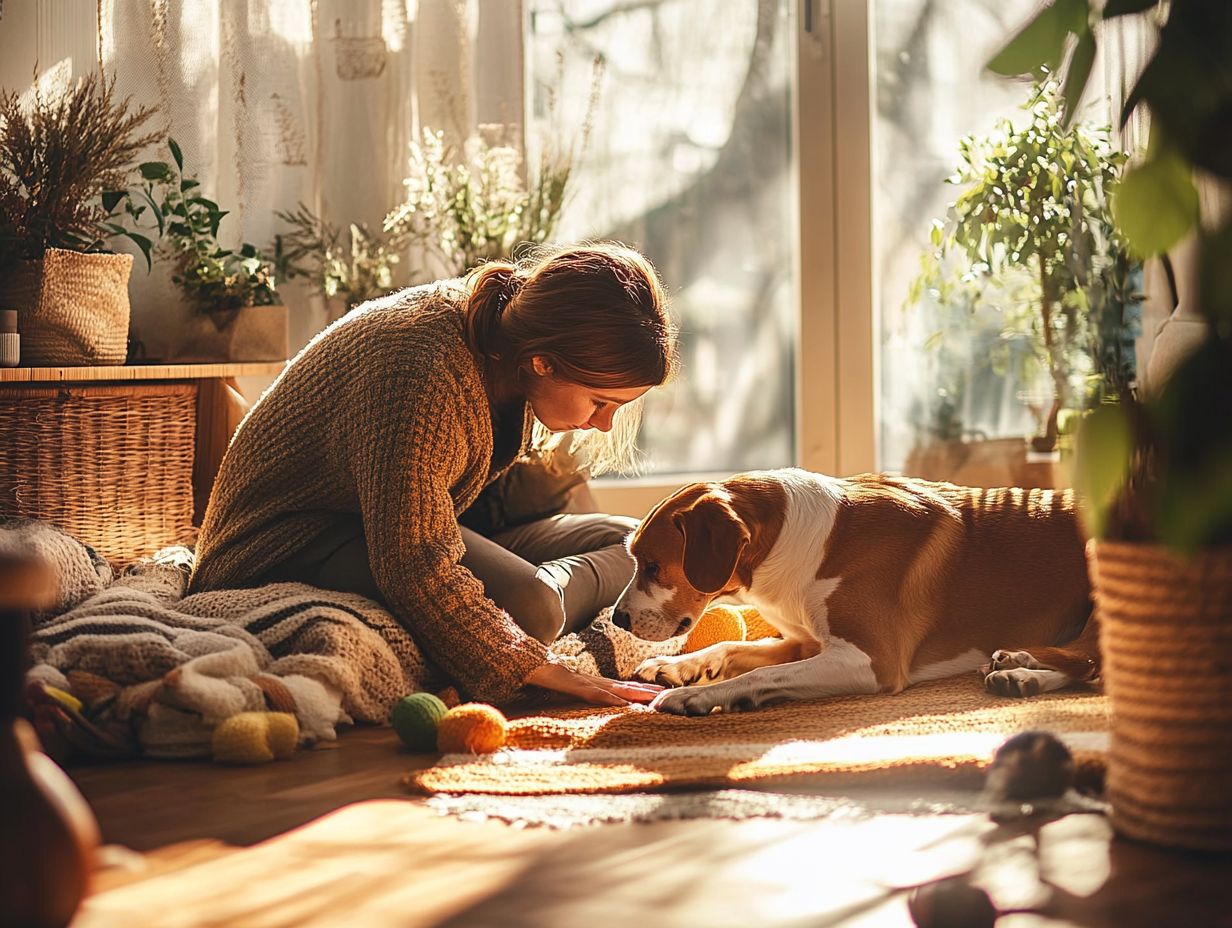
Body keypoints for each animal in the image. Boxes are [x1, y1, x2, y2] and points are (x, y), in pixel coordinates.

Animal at [611, 470, 1103, 714]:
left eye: (652, 566)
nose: (616, 620)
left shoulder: (871, 660)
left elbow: (759, 675)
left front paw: (696, 696)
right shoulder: (803, 642)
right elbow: (733, 647)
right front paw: (679, 667)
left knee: (1091, 663)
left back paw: (1020, 666)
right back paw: (1019, 670)